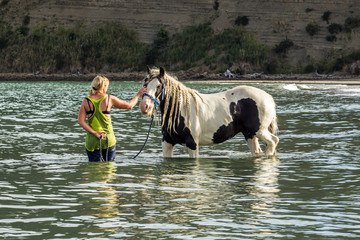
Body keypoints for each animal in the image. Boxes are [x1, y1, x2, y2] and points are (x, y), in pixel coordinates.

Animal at [139, 66, 280, 158]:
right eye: (145, 84)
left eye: (158, 86)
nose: (145, 106)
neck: (181, 109)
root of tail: (268, 97)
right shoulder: (167, 143)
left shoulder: (192, 144)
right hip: (250, 134)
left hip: (259, 131)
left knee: (273, 141)